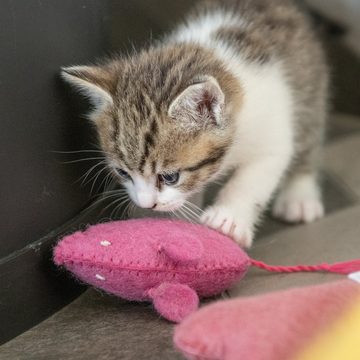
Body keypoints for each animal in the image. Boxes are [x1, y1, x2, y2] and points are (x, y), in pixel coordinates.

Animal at [62, 0, 330, 248]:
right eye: (122, 173)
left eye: (170, 177)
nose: (146, 203)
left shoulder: (271, 131)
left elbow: (251, 179)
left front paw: (228, 219)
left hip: (309, 89)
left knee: (308, 139)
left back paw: (300, 198)